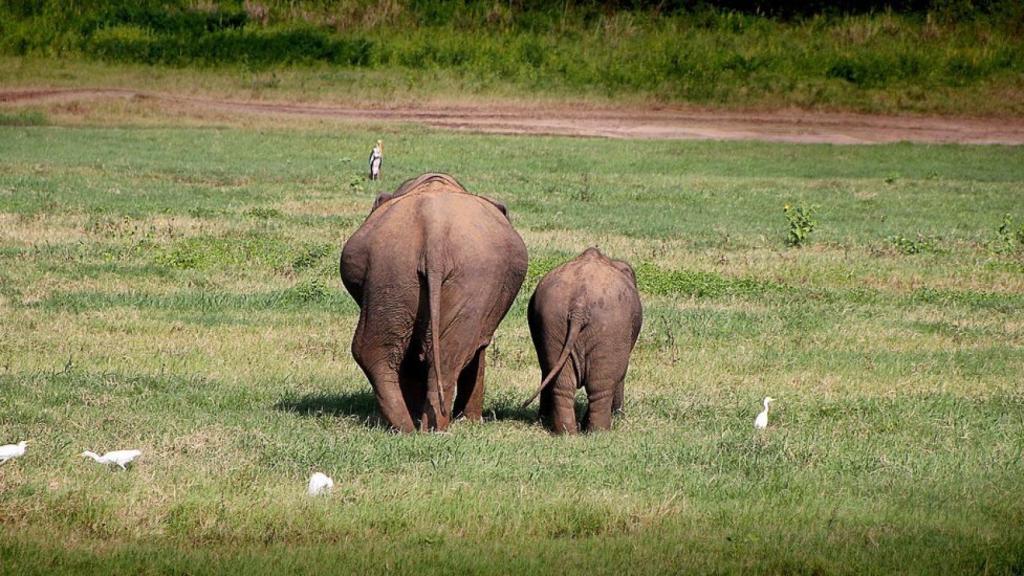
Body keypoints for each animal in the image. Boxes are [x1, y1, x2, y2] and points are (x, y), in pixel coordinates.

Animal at [340, 173, 528, 432]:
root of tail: (434, 232)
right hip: (445, 275)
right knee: (449, 351)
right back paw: (428, 427)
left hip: (394, 270)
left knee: (380, 350)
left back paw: (412, 427)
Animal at [522, 247, 642, 434]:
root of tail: (579, 304)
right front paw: (618, 416)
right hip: (611, 328)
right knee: (600, 387)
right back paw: (599, 432)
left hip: (552, 321)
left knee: (561, 384)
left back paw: (567, 433)